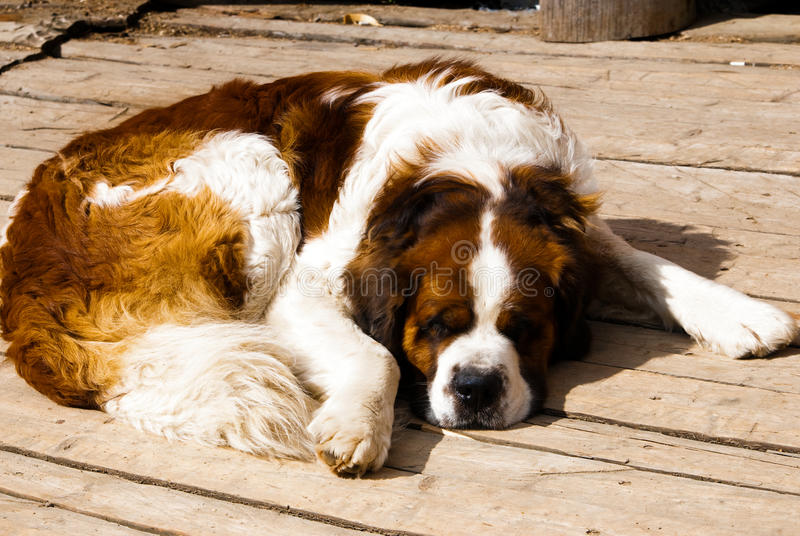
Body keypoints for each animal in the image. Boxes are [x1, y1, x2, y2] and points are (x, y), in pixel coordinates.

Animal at [3, 59, 796, 478]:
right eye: (437, 327)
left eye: (524, 328)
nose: (476, 390)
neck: (470, 168)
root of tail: (23, 271)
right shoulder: (307, 283)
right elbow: (374, 355)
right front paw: (358, 423)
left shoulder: (567, 215)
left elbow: (638, 259)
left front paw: (739, 313)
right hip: (253, 165)